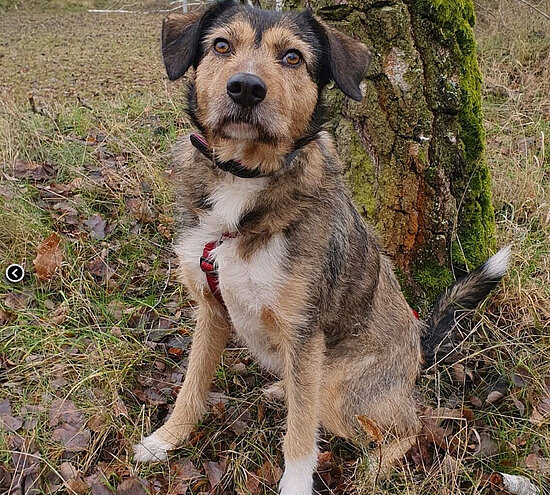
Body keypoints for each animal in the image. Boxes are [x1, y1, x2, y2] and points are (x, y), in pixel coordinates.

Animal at [133, 1, 510, 493]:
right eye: (221, 46)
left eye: (293, 57)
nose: (246, 88)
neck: (244, 178)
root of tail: (419, 343)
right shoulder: (211, 309)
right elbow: (191, 387)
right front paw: (165, 440)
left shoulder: (303, 330)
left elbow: (299, 434)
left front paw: (295, 483)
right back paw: (282, 390)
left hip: (338, 388)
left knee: (408, 427)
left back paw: (372, 469)